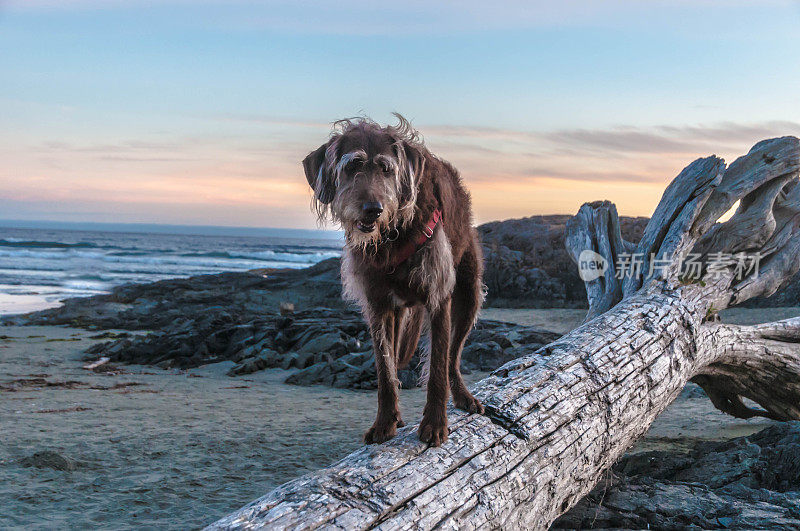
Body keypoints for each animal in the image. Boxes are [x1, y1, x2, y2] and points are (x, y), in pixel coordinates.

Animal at [304, 114, 484, 446]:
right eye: (352, 166)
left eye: (386, 169)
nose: (373, 210)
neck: (392, 235)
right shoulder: (377, 305)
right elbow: (385, 372)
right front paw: (385, 422)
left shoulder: (438, 297)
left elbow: (437, 368)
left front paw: (435, 423)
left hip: (468, 292)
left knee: (453, 356)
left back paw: (463, 395)